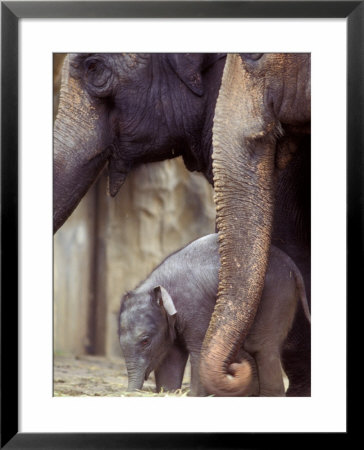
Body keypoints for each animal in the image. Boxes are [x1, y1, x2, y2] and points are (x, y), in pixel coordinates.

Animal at [118, 234, 310, 396]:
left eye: (145, 341)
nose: (130, 393)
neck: (157, 285)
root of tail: (291, 265)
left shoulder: (195, 306)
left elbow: (198, 349)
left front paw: (195, 396)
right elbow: (171, 357)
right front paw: (170, 392)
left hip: (277, 294)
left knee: (262, 347)